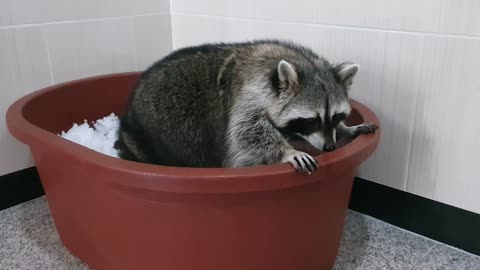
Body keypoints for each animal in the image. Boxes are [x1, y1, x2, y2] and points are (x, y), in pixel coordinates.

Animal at [114, 39, 376, 173]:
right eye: (311, 120)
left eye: (335, 116)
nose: (330, 147)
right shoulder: (249, 92)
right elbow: (245, 131)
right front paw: (287, 151)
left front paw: (346, 129)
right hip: (164, 128)